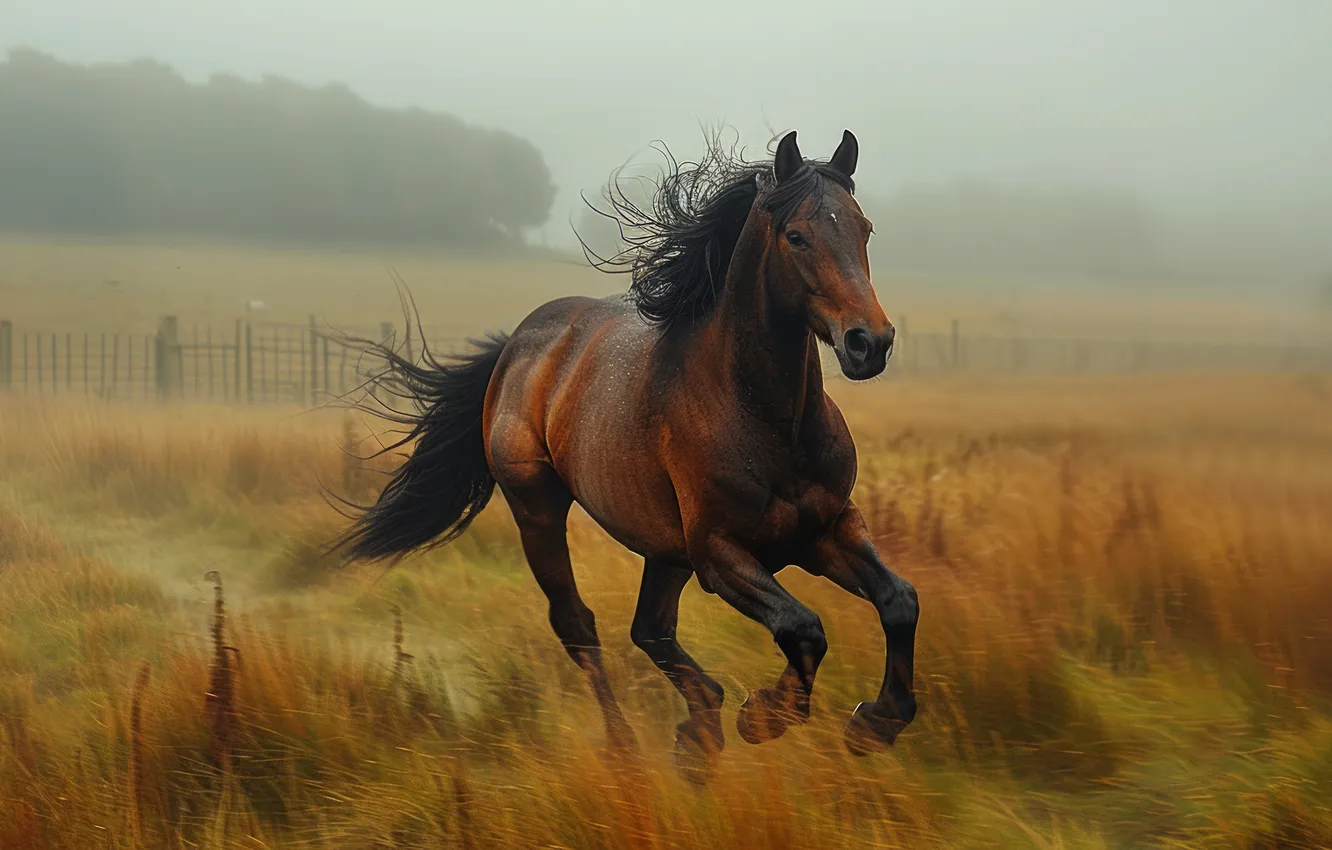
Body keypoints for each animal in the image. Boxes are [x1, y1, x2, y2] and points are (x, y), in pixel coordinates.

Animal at [335, 129, 919, 772]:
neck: (767, 420)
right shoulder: (720, 553)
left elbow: (898, 600)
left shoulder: (827, 529)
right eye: (797, 236)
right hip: (540, 510)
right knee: (579, 624)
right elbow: (802, 626)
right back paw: (629, 750)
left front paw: (876, 723)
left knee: (650, 630)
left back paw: (698, 729)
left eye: (864, 229)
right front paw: (765, 715)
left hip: (664, 549)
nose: (870, 343)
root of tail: (517, 344)